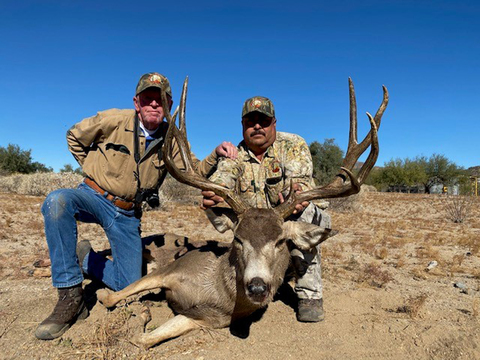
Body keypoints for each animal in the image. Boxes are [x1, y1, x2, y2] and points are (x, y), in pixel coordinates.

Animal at [95, 76, 388, 348]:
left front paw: (142, 316)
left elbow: (142, 339)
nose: (257, 287)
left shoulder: (207, 319)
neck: (216, 290)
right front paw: (128, 304)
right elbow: (111, 296)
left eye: (281, 241)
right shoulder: (173, 268)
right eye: (237, 239)